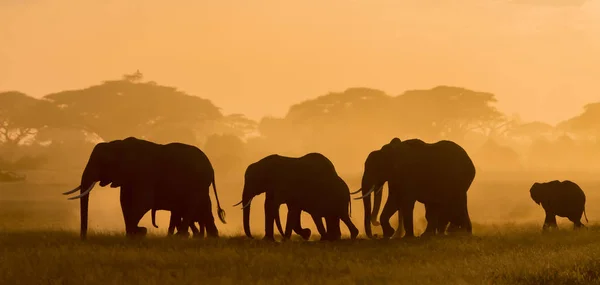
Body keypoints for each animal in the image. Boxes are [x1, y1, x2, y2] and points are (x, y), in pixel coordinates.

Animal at [61, 136, 226, 239]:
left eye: (103, 162)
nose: (83, 238)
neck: (118, 144)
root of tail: (211, 168)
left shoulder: (144, 173)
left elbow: (142, 202)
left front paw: (140, 232)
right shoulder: (128, 178)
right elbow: (125, 202)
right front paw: (133, 235)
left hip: (197, 183)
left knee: (191, 207)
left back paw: (183, 236)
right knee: (204, 207)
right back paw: (211, 237)